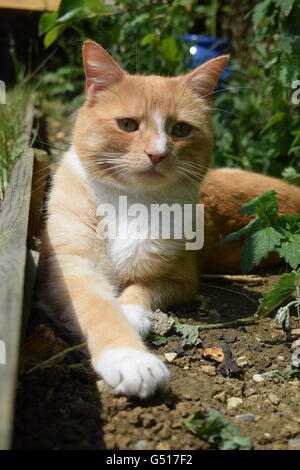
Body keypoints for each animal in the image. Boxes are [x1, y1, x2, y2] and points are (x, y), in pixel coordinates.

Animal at [41, 40, 300, 398]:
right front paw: (131, 361)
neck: (132, 202)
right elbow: (100, 310)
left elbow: (142, 291)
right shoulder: (71, 269)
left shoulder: (181, 279)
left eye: (180, 129)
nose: (157, 153)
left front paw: (131, 314)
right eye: (127, 125)